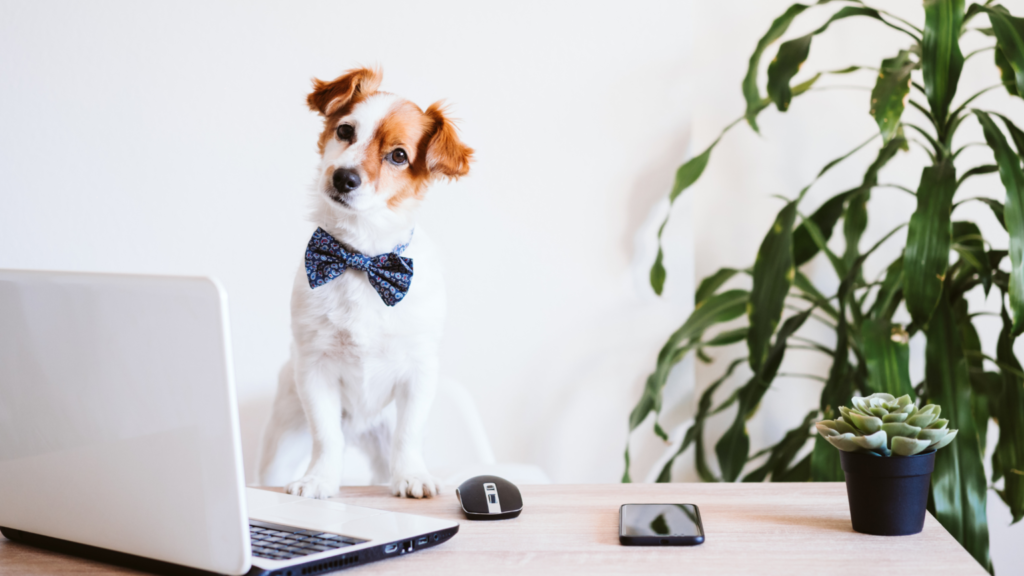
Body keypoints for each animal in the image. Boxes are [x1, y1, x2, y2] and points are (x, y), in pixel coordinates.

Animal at [260, 67, 475, 498]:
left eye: (399, 155)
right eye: (345, 131)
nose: (344, 178)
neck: (362, 259)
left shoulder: (419, 371)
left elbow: (409, 434)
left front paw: (412, 476)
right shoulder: (315, 368)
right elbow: (326, 436)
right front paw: (320, 479)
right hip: (285, 435)